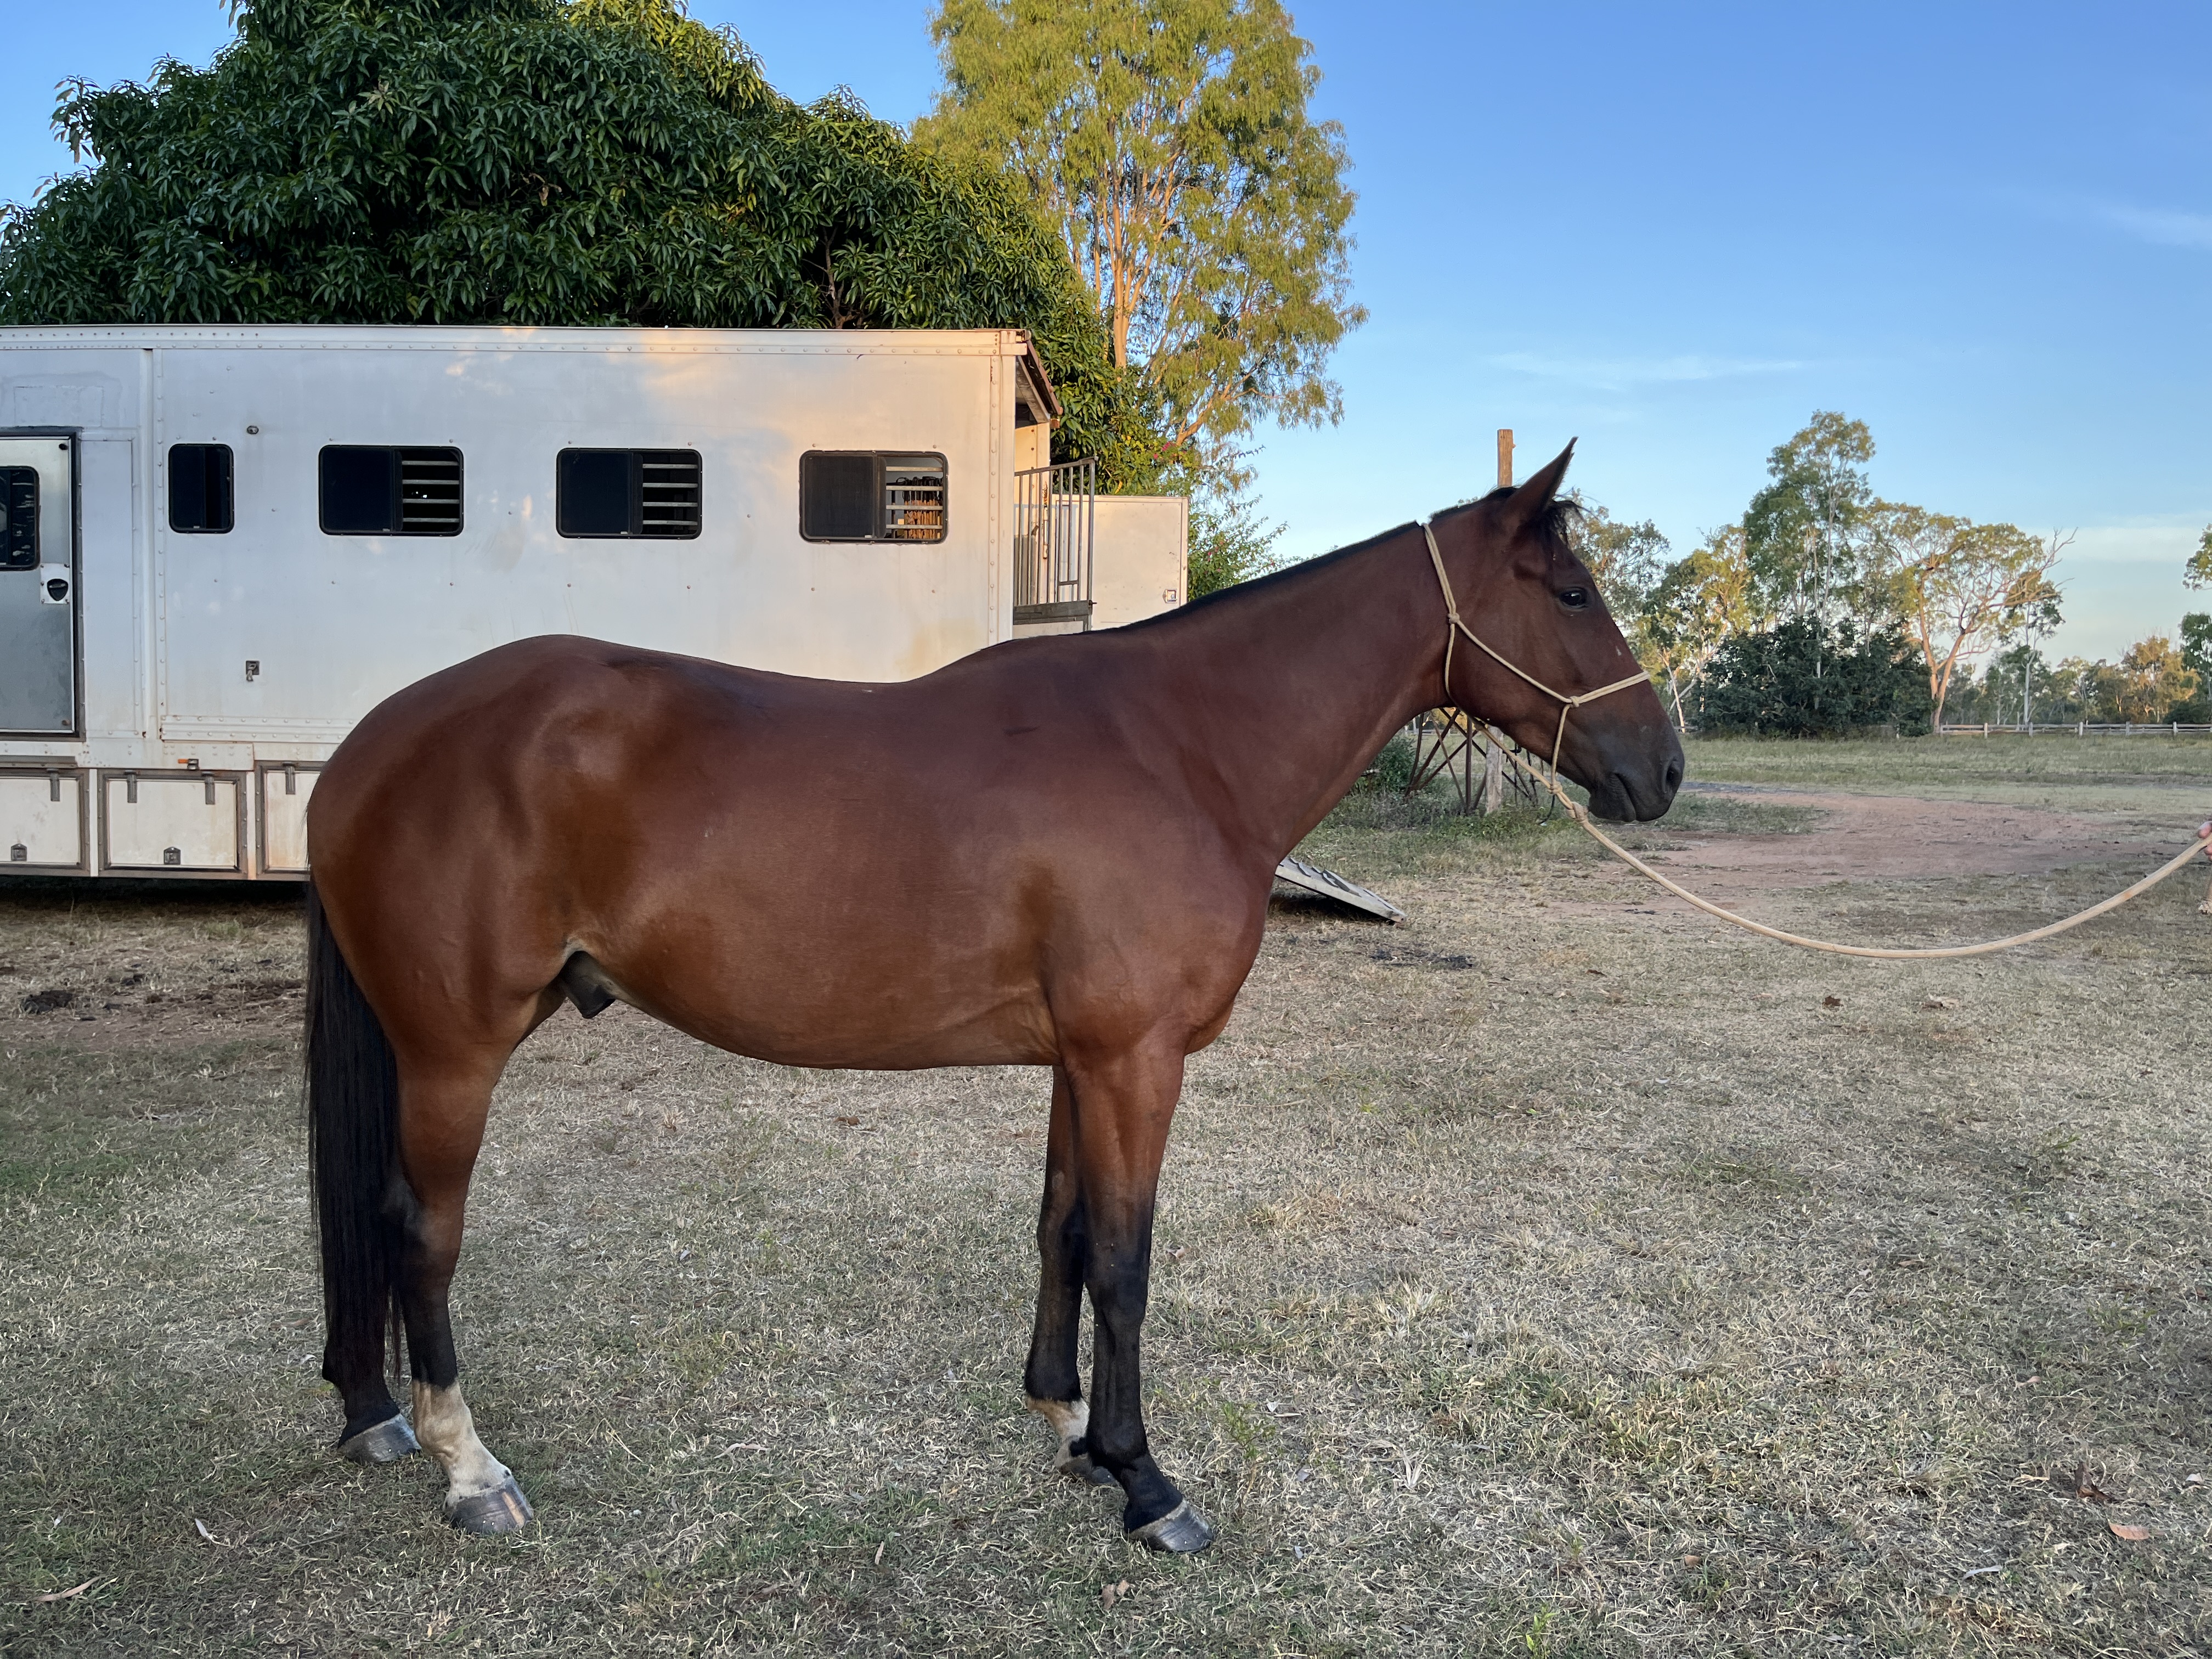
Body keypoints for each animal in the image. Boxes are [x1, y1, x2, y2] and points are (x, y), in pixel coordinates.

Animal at [303, 442, 1683, 1551]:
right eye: (1572, 592)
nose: (1662, 769)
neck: (1182, 750)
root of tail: (373, 740)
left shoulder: (1083, 1057)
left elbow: (1062, 1230)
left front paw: (1070, 1427)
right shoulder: (1136, 1059)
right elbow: (1125, 1256)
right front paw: (1147, 1483)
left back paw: (376, 1417)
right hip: (454, 1052)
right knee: (422, 1232)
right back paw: (469, 1468)